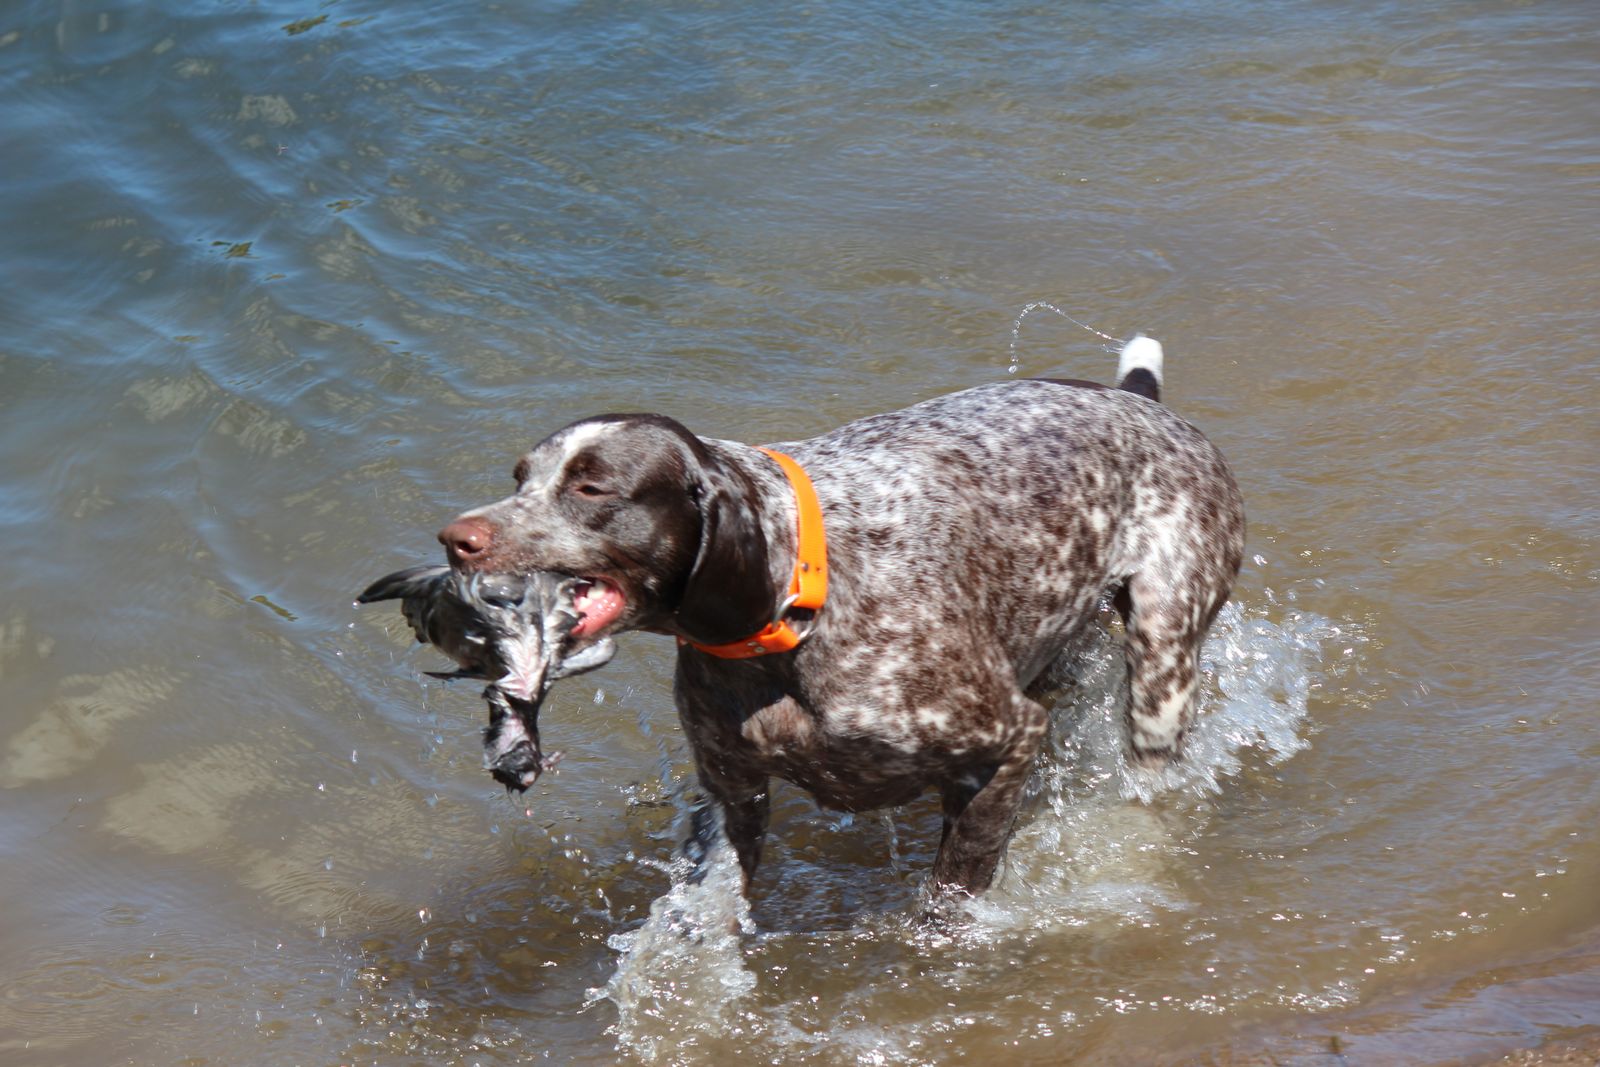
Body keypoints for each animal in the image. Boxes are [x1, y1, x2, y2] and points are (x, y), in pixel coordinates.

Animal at [435, 336, 1244, 900]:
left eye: (592, 487)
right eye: (521, 479)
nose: (455, 537)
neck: (795, 611)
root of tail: (1142, 403)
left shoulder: (1010, 741)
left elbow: (955, 884)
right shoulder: (733, 791)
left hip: (1161, 669)